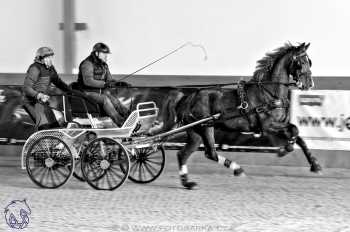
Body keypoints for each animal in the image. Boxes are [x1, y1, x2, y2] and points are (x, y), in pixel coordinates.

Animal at [150, 42, 320, 189]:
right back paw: (236, 169)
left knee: (185, 154)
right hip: (204, 128)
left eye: (309, 61)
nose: (309, 84)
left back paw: (188, 182)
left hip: (196, 131)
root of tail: (189, 96)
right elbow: (294, 132)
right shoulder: (268, 126)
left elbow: (297, 134)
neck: (269, 93)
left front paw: (314, 164)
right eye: (301, 62)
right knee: (209, 153)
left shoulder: (279, 124)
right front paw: (285, 148)